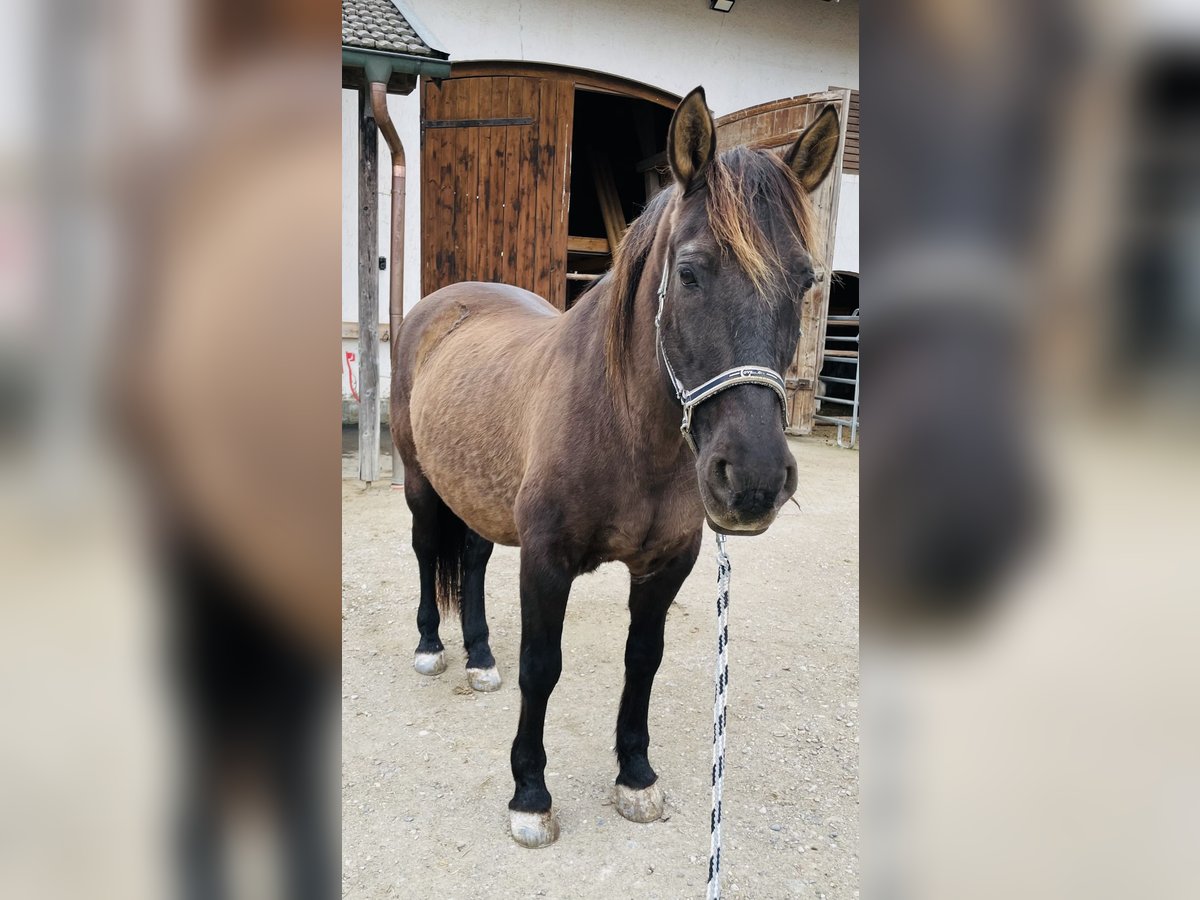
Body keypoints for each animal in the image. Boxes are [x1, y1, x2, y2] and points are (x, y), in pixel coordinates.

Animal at [388, 88, 840, 849]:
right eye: (688, 272)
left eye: (806, 281)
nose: (752, 480)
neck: (624, 430)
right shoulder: (545, 559)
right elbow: (541, 667)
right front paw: (530, 794)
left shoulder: (666, 566)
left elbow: (643, 660)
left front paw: (635, 775)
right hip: (422, 485)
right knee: (429, 553)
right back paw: (433, 647)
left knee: (471, 559)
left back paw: (480, 658)